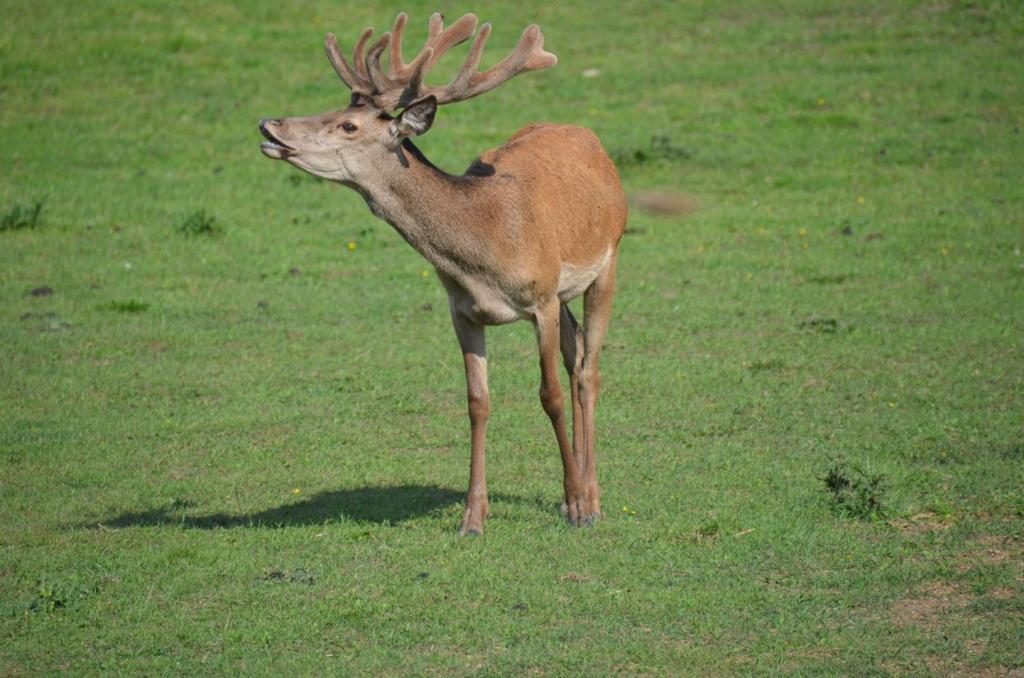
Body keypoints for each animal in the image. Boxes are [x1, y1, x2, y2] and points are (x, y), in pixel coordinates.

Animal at [258, 10, 622, 536]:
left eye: (348, 125)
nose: (269, 122)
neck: (484, 251)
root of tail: (589, 137)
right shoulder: (462, 309)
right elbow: (477, 402)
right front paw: (473, 517)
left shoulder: (540, 298)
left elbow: (549, 394)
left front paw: (576, 505)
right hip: (567, 291)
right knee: (576, 357)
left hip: (607, 261)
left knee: (588, 370)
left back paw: (591, 497)